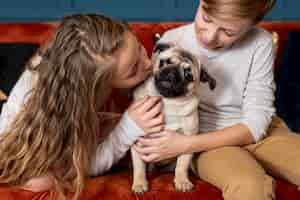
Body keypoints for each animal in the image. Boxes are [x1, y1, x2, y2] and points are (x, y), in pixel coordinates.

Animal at [131, 41, 216, 194]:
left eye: (188, 76)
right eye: (164, 62)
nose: (171, 73)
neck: (168, 102)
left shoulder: (187, 140)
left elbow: (181, 165)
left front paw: (182, 181)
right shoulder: (138, 143)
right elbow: (139, 166)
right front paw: (139, 183)